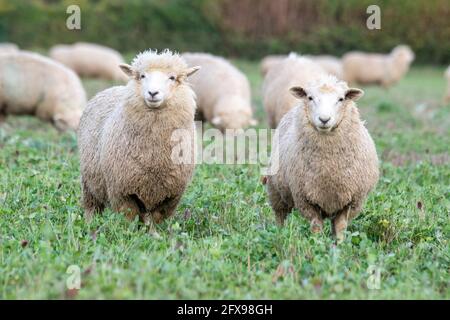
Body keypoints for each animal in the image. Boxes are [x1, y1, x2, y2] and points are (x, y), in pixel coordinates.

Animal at [78, 49, 200, 225]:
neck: (155, 155)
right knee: (92, 208)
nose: (153, 93)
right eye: (142, 76)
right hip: (89, 183)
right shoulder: (122, 191)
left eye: (172, 77)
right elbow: (129, 218)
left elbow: (156, 220)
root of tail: (111, 88)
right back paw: (90, 225)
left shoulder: (170, 195)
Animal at [266, 73, 378, 242]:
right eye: (310, 97)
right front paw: (317, 244)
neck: (328, 168)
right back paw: (279, 235)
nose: (324, 119)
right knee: (280, 215)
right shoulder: (306, 199)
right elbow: (316, 226)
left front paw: (340, 244)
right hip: (276, 190)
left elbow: (340, 227)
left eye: (341, 99)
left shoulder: (350, 200)